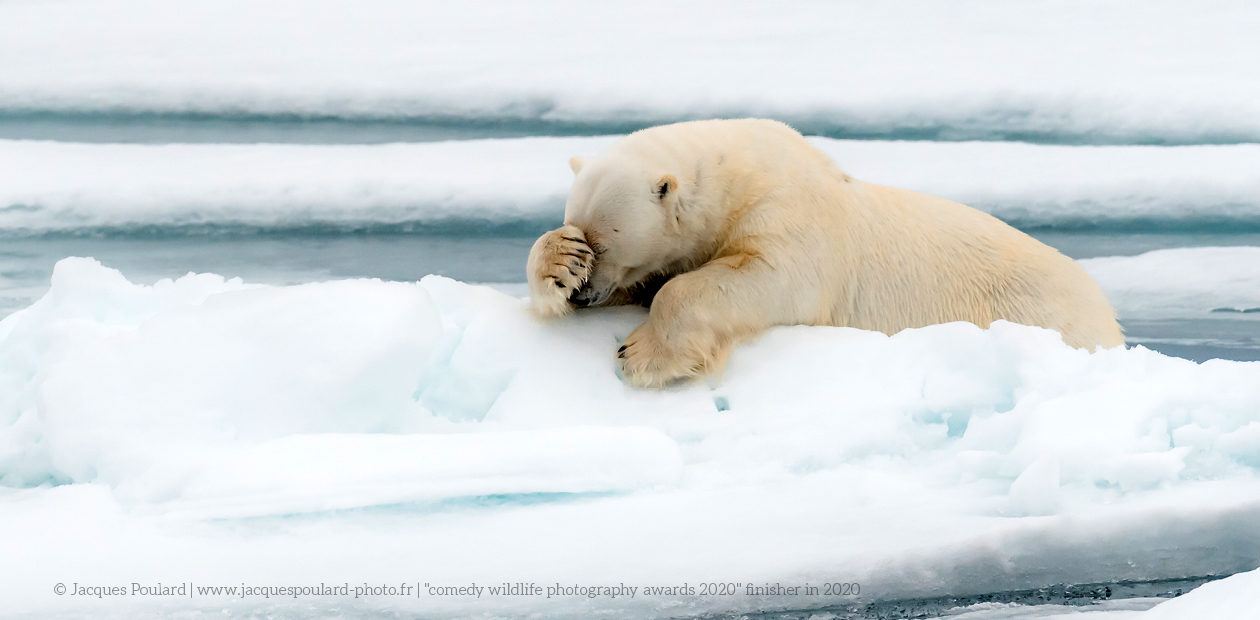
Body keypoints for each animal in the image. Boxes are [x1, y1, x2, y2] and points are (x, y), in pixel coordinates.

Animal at [524, 118, 1123, 385]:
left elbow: (762, 277)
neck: (741, 176)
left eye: (607, 242)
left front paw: (641, 354)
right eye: (582, 233)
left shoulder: (790, 218)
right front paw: (558, 264)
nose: (584, 297)